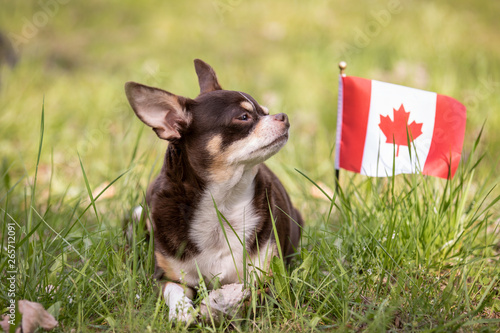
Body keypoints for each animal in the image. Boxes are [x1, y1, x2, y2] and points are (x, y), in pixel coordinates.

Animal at [125, 58, 304, 320]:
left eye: (266, 111)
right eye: (243, 116)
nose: (283, 116)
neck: (223, 202)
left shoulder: (266, 280)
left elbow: (246, 296)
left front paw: (216, 305)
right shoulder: (167, 278)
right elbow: (174, 292)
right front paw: (182, 312)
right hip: (141, 218)